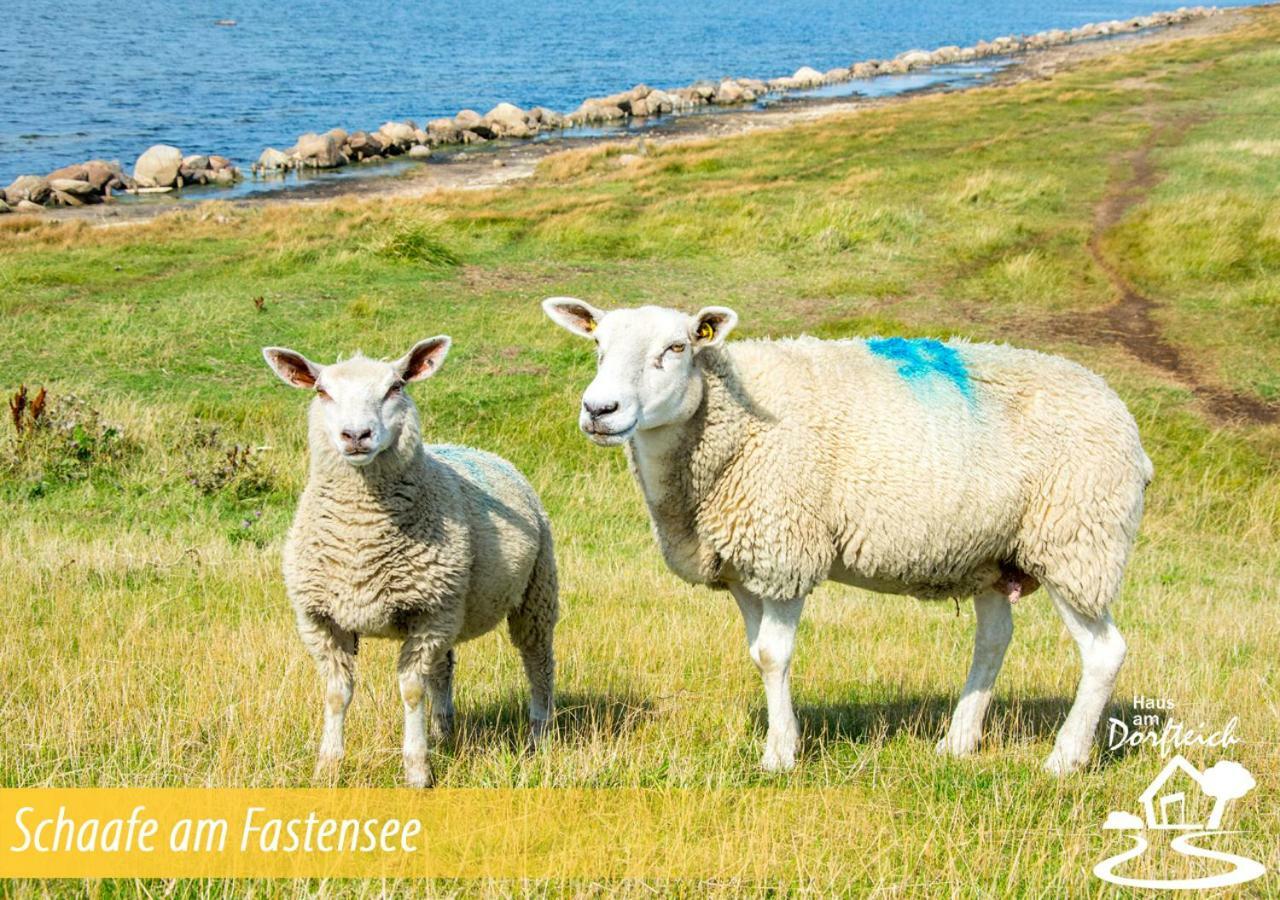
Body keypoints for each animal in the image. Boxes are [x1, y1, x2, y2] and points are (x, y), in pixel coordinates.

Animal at [263, 337, 555, 788]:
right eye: (322, 392)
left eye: (395, 387)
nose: (356, 435)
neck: (361, 536)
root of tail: (474, 448)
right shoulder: (320, 620)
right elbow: (336, 693)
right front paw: (327, 768)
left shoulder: (429, 613)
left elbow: (412, 691)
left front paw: (417, 770)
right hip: (452, 606)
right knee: (444, 668)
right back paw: (445, 733)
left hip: (534, 591)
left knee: (537, 659)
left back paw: (538, 736)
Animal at [540, 300, 1152, 773]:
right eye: (598, 346)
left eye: (676, 347)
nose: (599, 409)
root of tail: (1123, 417)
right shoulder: (743, 566)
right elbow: (755, 652)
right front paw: (782, 739)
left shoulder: (786, 548)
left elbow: (772, 656)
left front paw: (779, 756)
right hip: (992, 551)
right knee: (994, 638)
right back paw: (957, 743)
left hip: (1077, 541)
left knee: (1104, 652)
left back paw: (1064, 759)